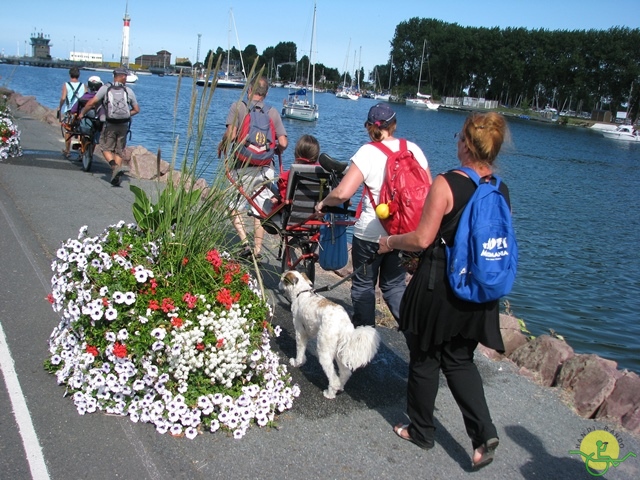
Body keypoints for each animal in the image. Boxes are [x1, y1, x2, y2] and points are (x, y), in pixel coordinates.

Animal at [276, 272, 378, 400]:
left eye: (282, 280)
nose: (278, 284)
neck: (302, 292)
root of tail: (343, 324)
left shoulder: (300, 331)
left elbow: (300, 350)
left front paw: (297, 362)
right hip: (339, 352)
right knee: (345, 373)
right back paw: (339, 388)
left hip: (324, 350)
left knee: (333, 378)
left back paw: (329, 393)